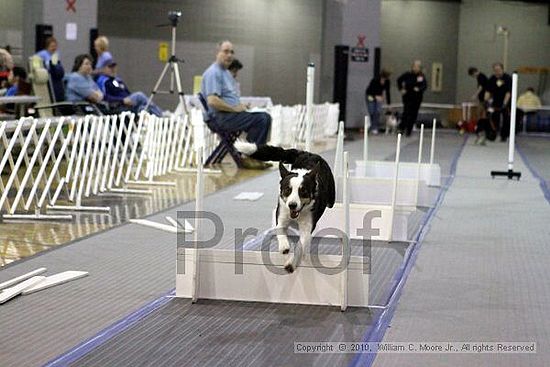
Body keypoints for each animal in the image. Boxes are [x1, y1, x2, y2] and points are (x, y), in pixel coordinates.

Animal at [234, 141, 334, 274]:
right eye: (288, 190)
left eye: (303, 192)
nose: (292, 205)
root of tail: (308, 153)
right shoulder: (281, 214)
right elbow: (280, 230)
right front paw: (284, 247)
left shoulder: (307, 226)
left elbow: (300, 245)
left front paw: (291, 263)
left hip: (331, 199)